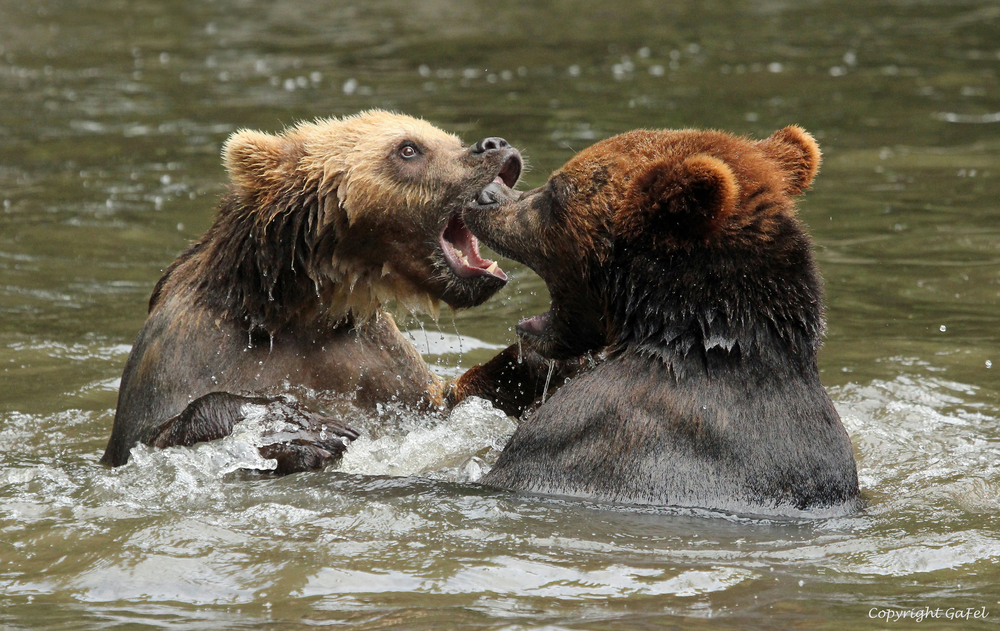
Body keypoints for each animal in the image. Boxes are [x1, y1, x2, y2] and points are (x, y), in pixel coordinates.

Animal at [102, 110, 540, 474]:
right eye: (409, 148)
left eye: (443, 135)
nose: (495, 144)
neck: (298, 309)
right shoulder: (186, 350)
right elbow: (153, 436)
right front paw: (310, 431)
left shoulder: (375, 360)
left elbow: (451, 401)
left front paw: (530, 361)